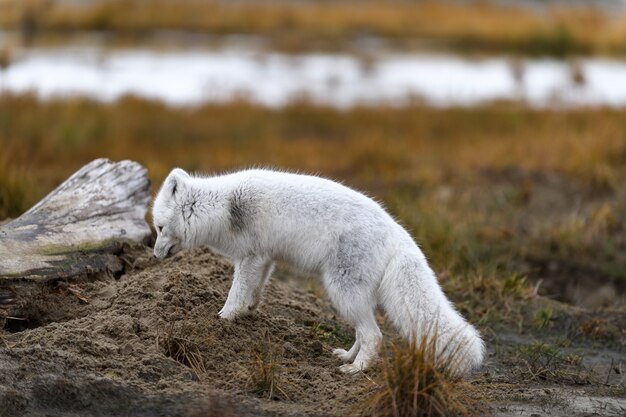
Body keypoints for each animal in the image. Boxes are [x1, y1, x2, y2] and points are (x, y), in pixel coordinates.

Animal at [151, 168, 482, 374]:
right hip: (351, 296)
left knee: (374, 335)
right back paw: (346, 356)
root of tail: (399, 234)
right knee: (364, 333)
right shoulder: (264, 259)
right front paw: (247, 311)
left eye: (159, 228)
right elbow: (254, 291)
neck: (224, 207)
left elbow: (236, 293)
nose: (154, 255)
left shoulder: (250, 257)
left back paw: (356, 369)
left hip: (342, 290)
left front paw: (223, 317)